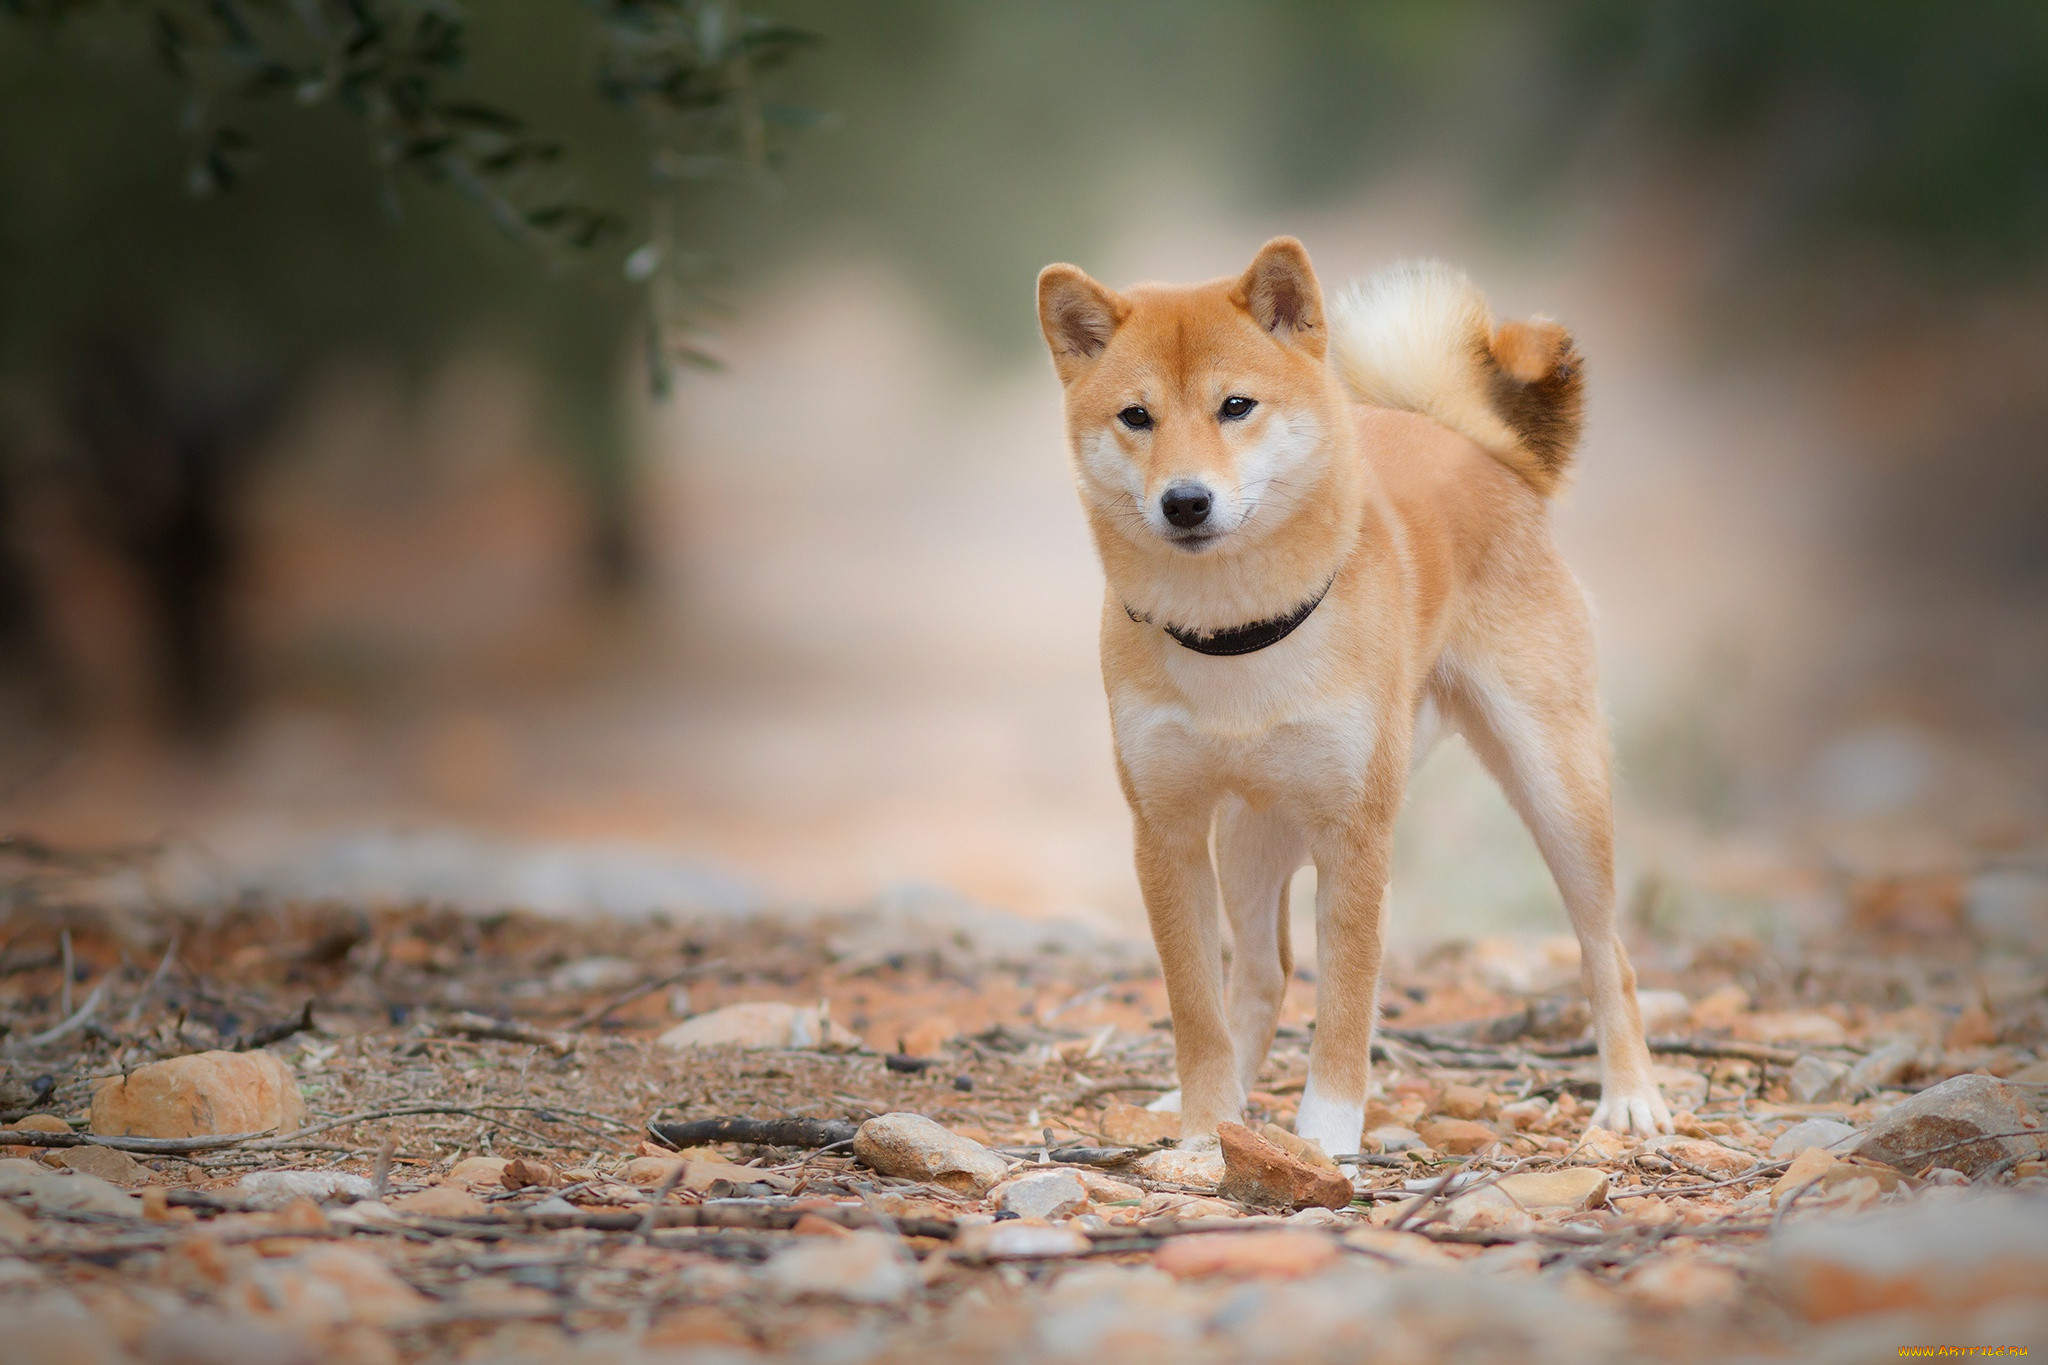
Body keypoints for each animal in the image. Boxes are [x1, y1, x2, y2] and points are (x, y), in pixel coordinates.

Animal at [1032, 240, 1671, 1162]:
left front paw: (1329, 1132)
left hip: (1558, 789)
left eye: (1235, 406)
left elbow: (1345, 1004)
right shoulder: (1167, 832)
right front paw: (1203, 1126)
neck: (1236, 635)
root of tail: (1474, 445)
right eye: (1135, 416)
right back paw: (1217, 1106)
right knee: (1261, 977)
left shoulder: (1356, 833)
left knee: (1605, 950)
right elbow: (1197, 1009)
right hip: (1251, 836)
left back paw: (1631, 1097)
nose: (1185, 501)